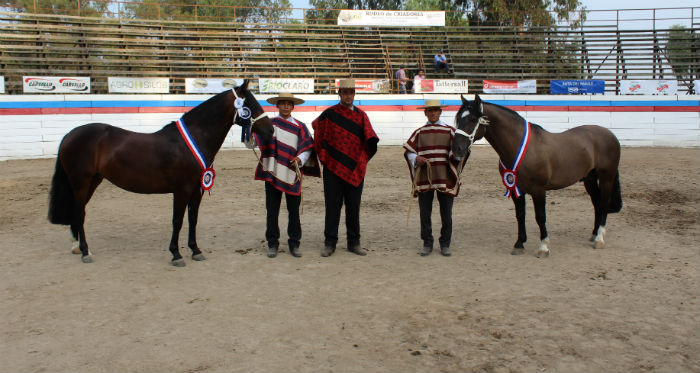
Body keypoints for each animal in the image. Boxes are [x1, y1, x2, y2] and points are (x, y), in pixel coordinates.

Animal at [48, 79, 274, 264]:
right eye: (250, 105)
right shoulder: (181, 190)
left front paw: (195, 250)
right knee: (80, 213)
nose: (270, 131)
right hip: (81, 182)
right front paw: (176, 254)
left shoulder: (197, 189)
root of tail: (70, 134)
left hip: (92, 181)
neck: (192, 140)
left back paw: (78, 248)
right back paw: (86, 252)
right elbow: (177, 221)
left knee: (78, 212)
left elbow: (193, 219)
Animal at [454, 93, 624, 256]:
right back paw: (594, 234)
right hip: (589, 179)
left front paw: (543, 247)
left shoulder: (539, 190)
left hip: (607, 178)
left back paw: (599, 239)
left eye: (472, 119)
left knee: (603, 204)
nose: (457, 149)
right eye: (458, 119)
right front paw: (519, 244)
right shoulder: (515, 188)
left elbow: (540, 216)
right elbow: (520, 215)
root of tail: (609, 134)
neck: (520, 148)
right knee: (596, 203)